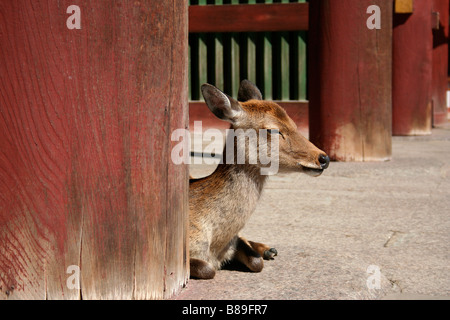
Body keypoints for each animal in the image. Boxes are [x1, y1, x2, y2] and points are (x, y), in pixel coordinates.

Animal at [188, 80, 328, 280]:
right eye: (272, 130)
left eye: (294, 123)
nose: (323, 158)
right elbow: (207, 269)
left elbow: (256, 262)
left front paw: (261, 252)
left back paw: (268, 249)